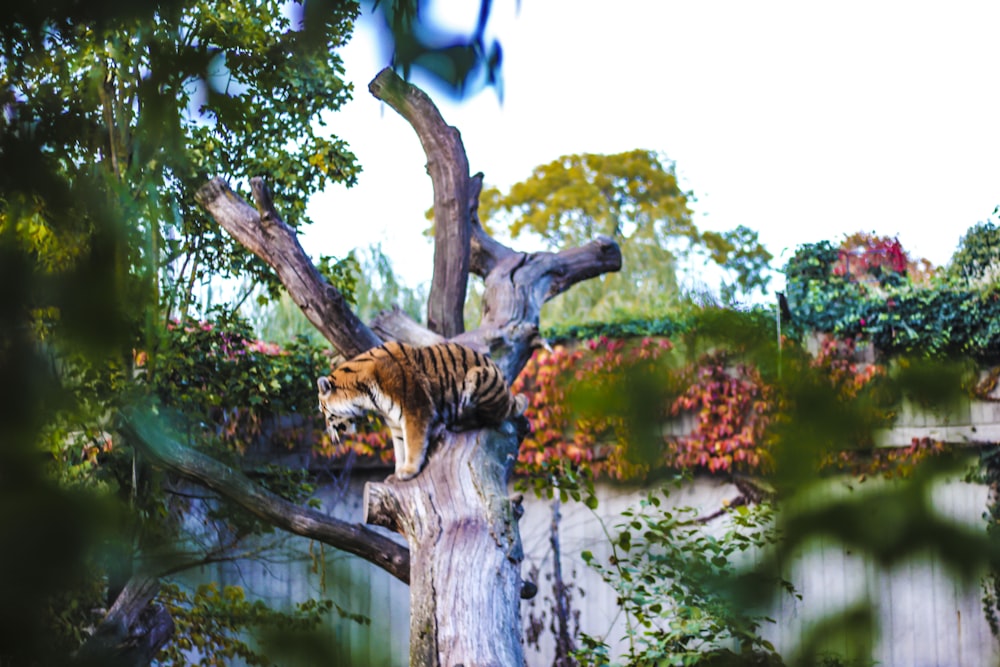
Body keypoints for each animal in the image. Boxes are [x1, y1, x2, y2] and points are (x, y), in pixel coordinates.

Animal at [316, 344, 528, 480]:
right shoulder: (394, 421)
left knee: (492, 417)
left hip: (478, 376)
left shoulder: (415, 409)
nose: (327, 429)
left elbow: (413, 443)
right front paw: (397, 471)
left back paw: (459, 422)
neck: (364, 395)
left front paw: (409, 471)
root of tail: (510, 392)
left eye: (323, 409)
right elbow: (400, 447)